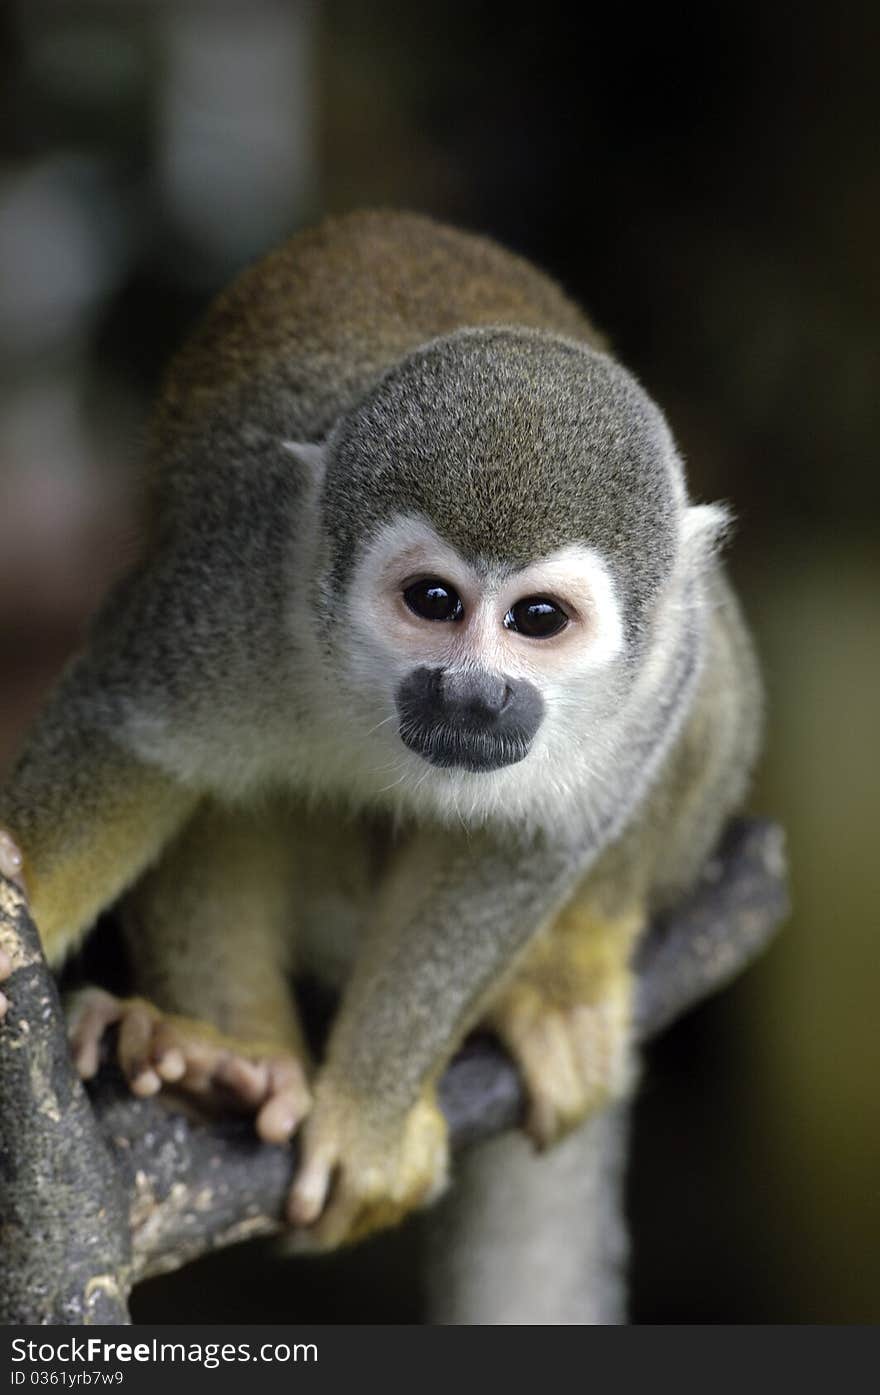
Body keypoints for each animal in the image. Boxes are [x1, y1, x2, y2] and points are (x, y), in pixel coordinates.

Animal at [0, 209, 758, 1277]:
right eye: (433, 601)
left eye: (537, 619)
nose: (474, 695)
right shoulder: (237, 577)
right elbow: (135, 740)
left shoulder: (651, 676)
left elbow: (526, 844)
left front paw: (369, 1115)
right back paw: (220, 1061)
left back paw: (563, 977)